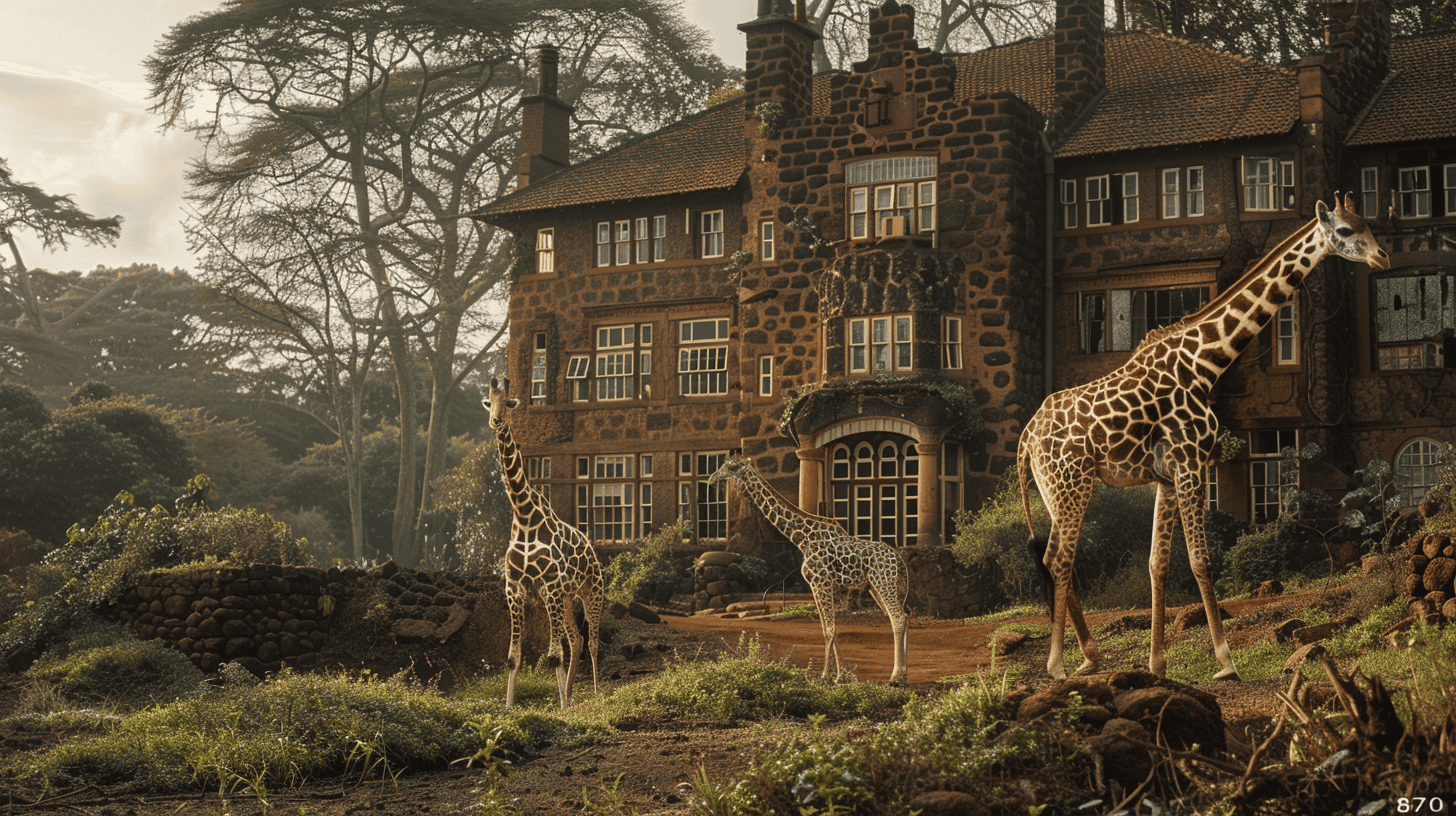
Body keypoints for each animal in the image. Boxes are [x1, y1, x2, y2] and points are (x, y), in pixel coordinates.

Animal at [484, 377, 605, 708]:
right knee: (575, 640)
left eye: (509, 402)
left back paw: (595, 693)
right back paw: (572, 693)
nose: (495, 420)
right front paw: (508, 707)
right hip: (565, 597)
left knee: (592, 641)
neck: (524, 514)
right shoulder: (515, 587)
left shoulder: (549, 585)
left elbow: (552, 656)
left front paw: (561, 707)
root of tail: (593, 551)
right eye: (489, 401)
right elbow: (513, 657)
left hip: (592, 592)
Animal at [709, 450, 909, 684]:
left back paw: (896, 677)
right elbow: (828, 628)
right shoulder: (820, 585)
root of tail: (899, 560)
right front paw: (839, 676)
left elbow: (829, 630)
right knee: (902, 617)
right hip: (877, 587)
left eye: (731, 467)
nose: (712, 478)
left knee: (898, 618)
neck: (802, 538)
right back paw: (903, 675)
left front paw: (823, 676)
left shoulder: (820, 582)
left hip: (884, 583)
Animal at [1019, 194, 1389, 681]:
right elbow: (1200, 559)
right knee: (1058, 559)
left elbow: (1157, 563)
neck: (1205, 361)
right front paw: (1226, 661)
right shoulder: (1192, 462)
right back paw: (1058, 665)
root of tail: (1026, 437)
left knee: (1054, 557)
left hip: (1053, 489)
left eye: (1368, 223)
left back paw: (1090, 656)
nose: (1382, 257)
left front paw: (1157, 663)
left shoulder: (1167, 474)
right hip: (1072, 483)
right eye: (1346, 231)